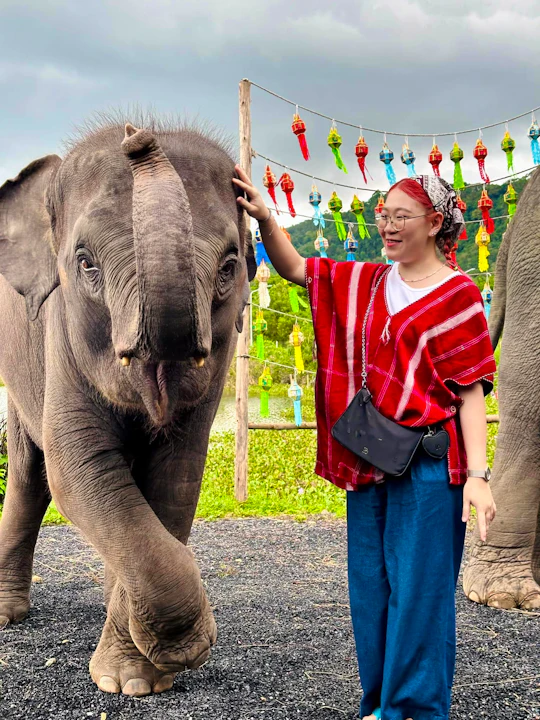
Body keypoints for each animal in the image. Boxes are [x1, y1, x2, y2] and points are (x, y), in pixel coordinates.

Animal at [0, 117, 256, 695]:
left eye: (229, 265)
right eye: (85, 263)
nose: (137, 136)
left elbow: (176, 478)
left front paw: (138, 678)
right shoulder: (60, 337)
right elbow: (79, 470)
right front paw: (181, 652)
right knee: (30, 475)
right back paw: (6, 615)